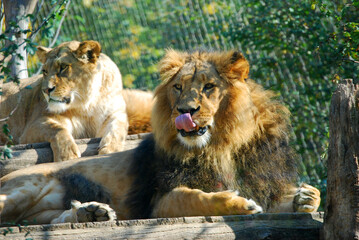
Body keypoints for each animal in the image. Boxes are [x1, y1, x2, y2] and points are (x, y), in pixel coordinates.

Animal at [0, 41, 152, 162]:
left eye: (63, 67)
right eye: (44, 71)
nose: (46, 90)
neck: (86, 105)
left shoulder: (116, 114)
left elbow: (118, 128)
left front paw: (110, 149)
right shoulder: (32, 127)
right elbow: (57, 129)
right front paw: (67, 156)